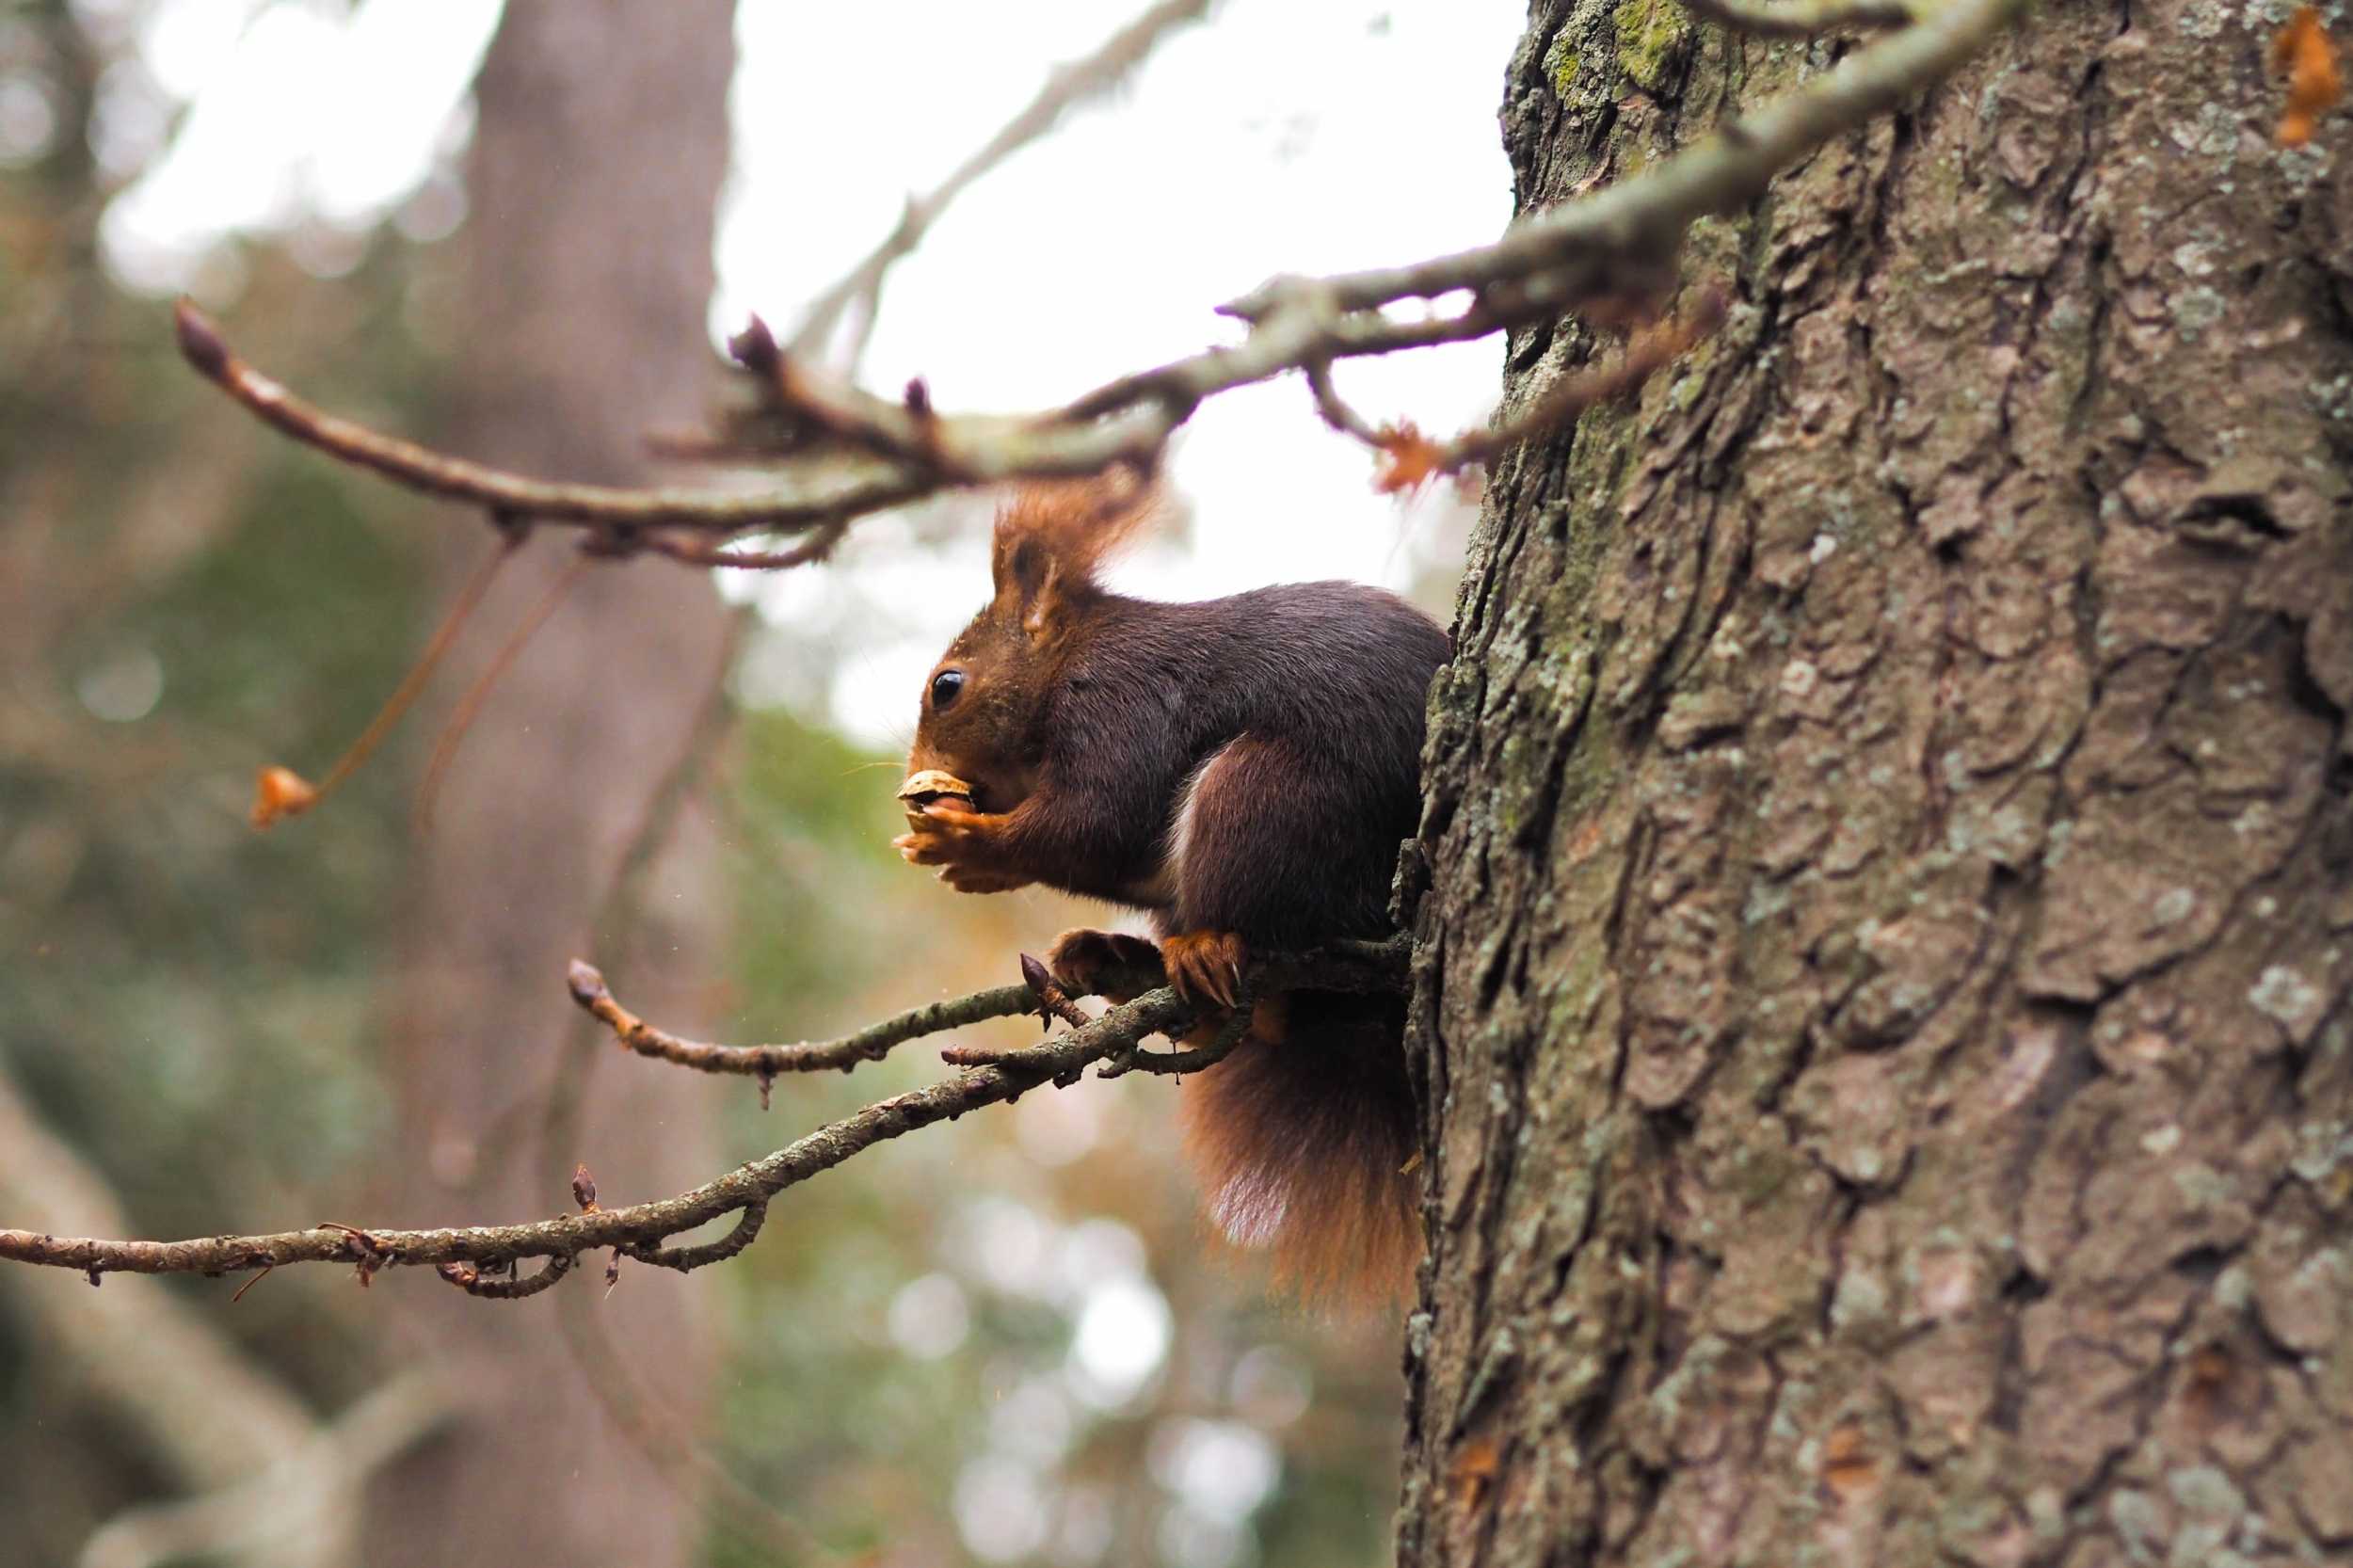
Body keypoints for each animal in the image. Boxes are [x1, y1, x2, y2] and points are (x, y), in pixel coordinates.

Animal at [889, 480, 1440, 1308]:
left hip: (1269, 797)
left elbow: (1100, 826)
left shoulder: (1121, 705)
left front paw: (969, 845)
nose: (913, 781)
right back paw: (1114, 961)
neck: (1067, 661)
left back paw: (1202, 950)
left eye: (946, 688)